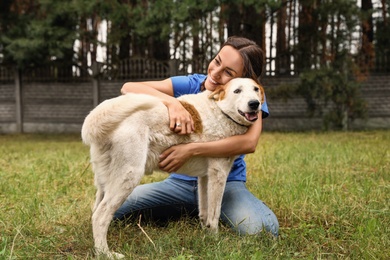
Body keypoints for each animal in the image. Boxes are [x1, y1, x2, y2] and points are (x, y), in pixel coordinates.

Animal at [82, 77, 266, 258]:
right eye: (237, 91)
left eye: (256, 89)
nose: (255, 104)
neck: (221, 112)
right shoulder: (218, 174)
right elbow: (214, 214)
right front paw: (216, 243)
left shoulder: (205, 177)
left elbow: (204, 213)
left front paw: (206, 237)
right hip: (128, 176)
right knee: (100, 216)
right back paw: (105, 253)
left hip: (105, 183)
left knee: (95, 211)